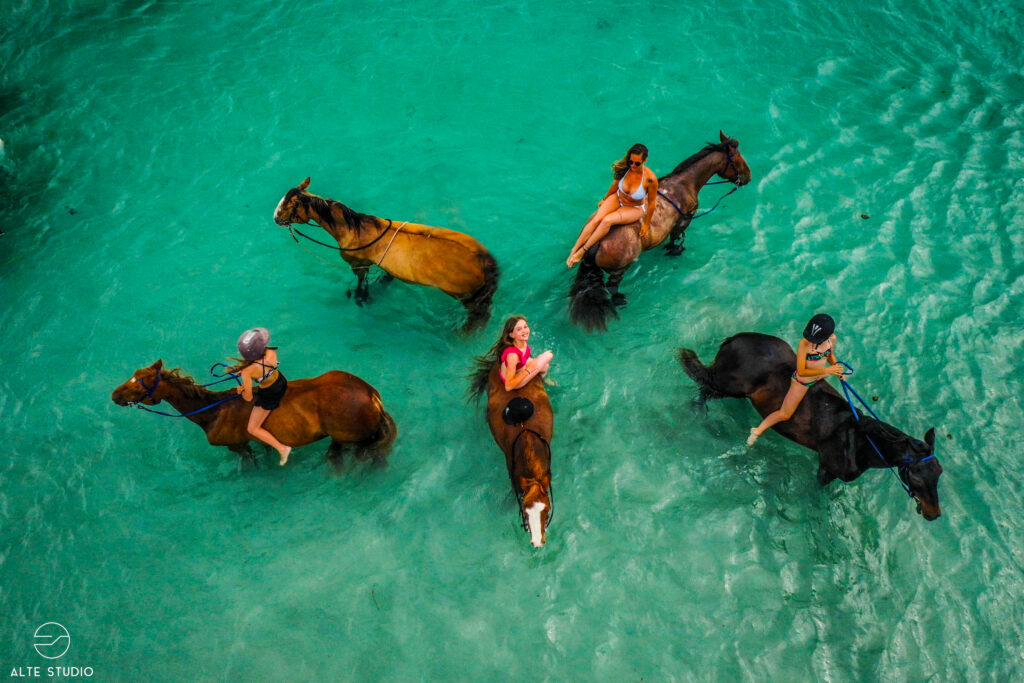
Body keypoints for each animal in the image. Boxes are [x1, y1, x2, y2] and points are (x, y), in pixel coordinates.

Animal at [111, 360, 397, 464]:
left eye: (140, 383)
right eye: (132, 376)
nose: (114, 396)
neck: (214, 411)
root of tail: (371, 395)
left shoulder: (238, 446)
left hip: (351, 437)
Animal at [274, 178, 499, 333]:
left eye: (287, 206)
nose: (276, 218)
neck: (353, 229)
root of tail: (484, 260)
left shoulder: (358, 265)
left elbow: (361, 284)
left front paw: (361, 297)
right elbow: (384, 277)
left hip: (467, 297)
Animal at [569, 132, 752, 331]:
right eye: (738, 158)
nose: (748, 177)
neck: (685, 183)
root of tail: (596, 244)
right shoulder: (684, 220)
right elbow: (676, 238)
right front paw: (674, 250)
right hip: (620, 269)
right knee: (612, 287)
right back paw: (619, 299)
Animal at [679, 333, 943, 521]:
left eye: (938, 474)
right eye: (917, 478)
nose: (934, 514)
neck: (859, 441)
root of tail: (732, 340)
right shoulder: (826, 469)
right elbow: (816, 493)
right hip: (726, 386)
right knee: (703, 386)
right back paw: (698, 414)